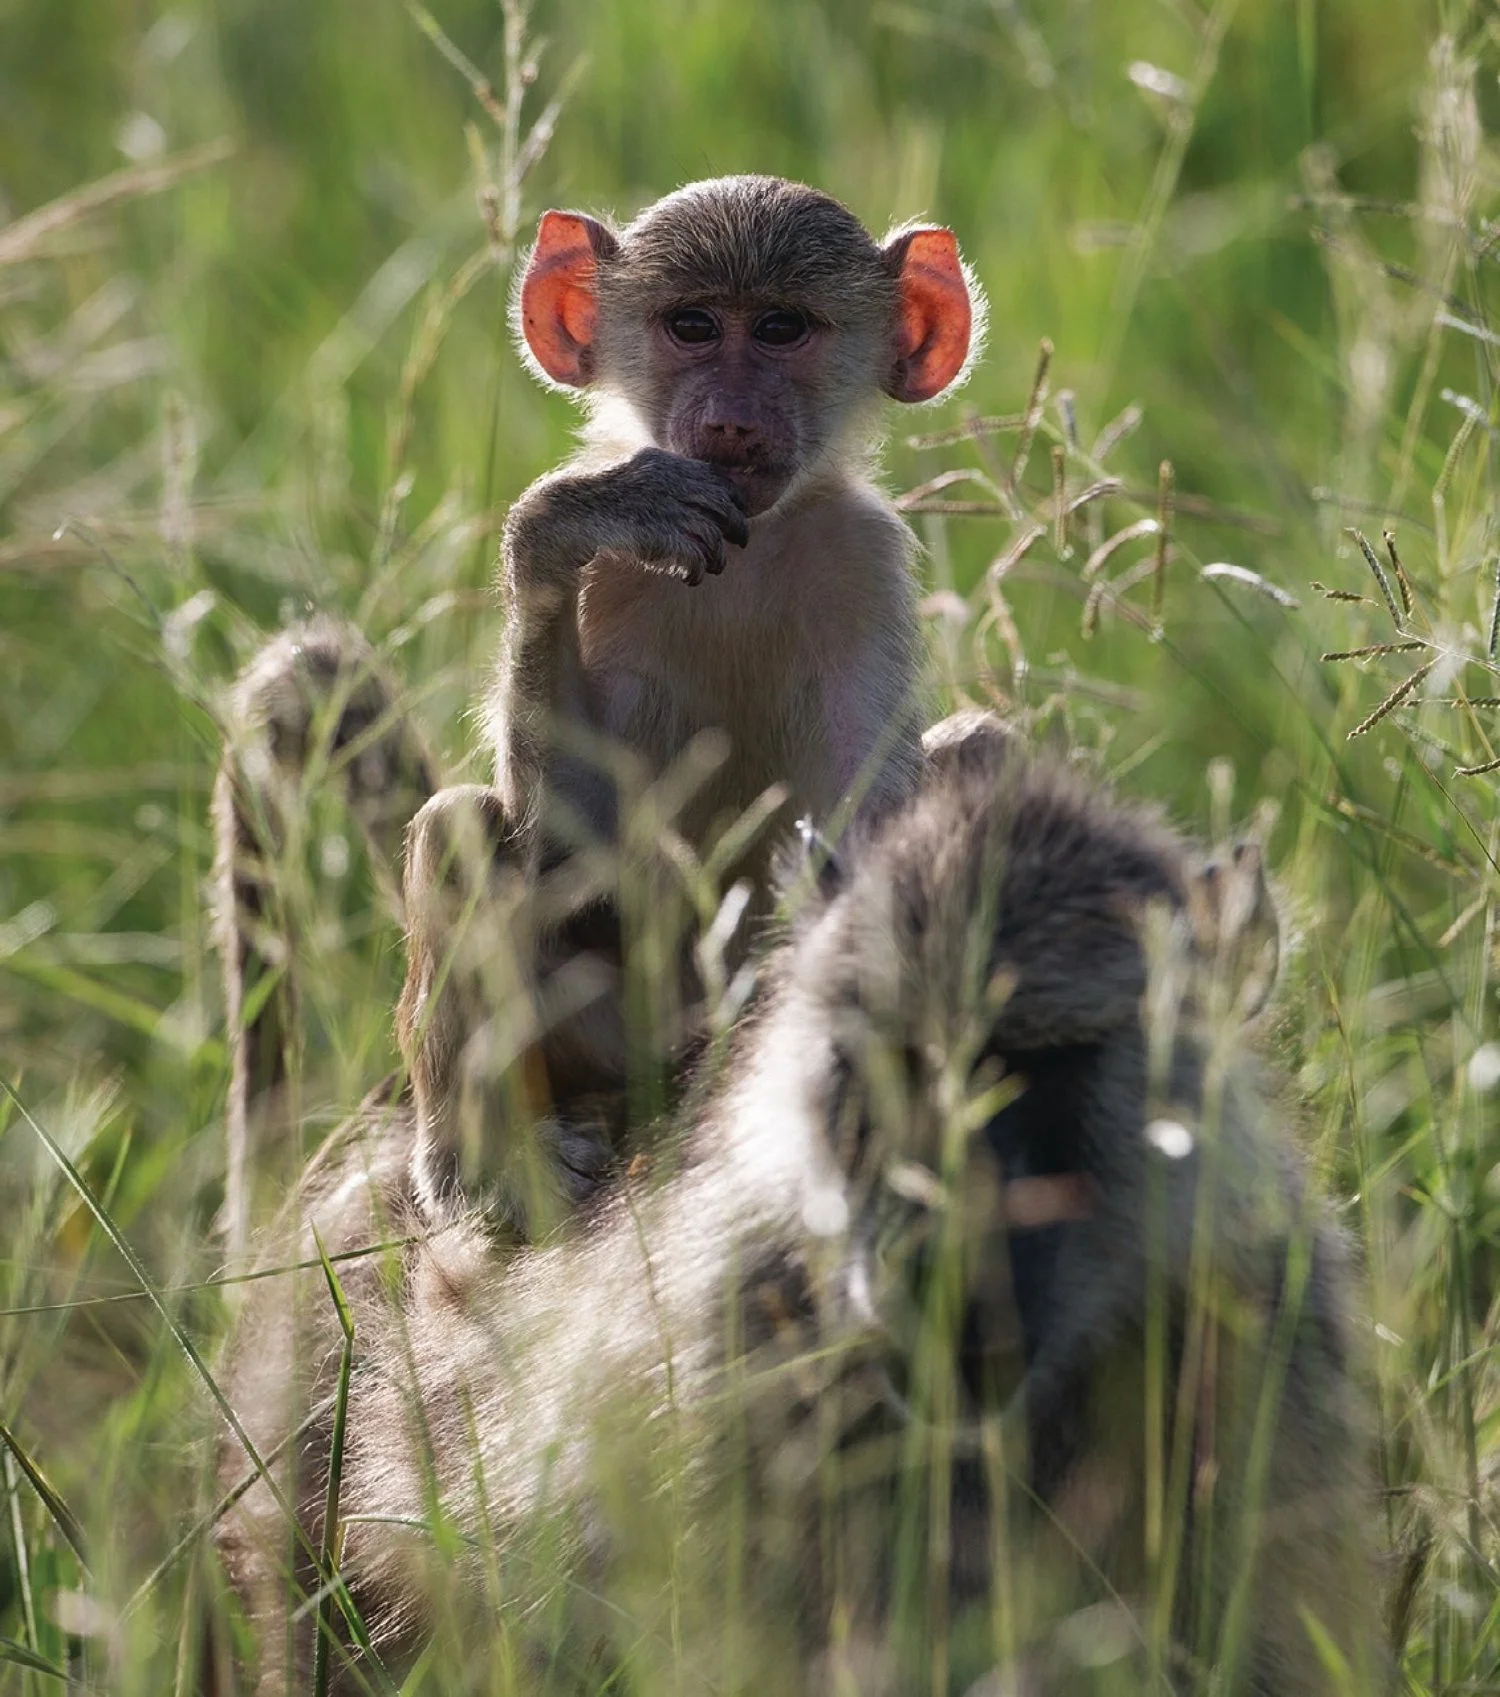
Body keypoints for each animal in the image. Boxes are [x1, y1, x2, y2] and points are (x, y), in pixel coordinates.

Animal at [213, 175, 982, 1245]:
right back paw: (482, 1165)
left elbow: (867, 828)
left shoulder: (861, 559)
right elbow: (567, 842)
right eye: (692, 325)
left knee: (983, 749)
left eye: (782, 328)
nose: (732, 423)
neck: (750, 548)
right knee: (459, 828)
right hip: (599, 1035)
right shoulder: (623, 575)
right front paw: (559, 523)